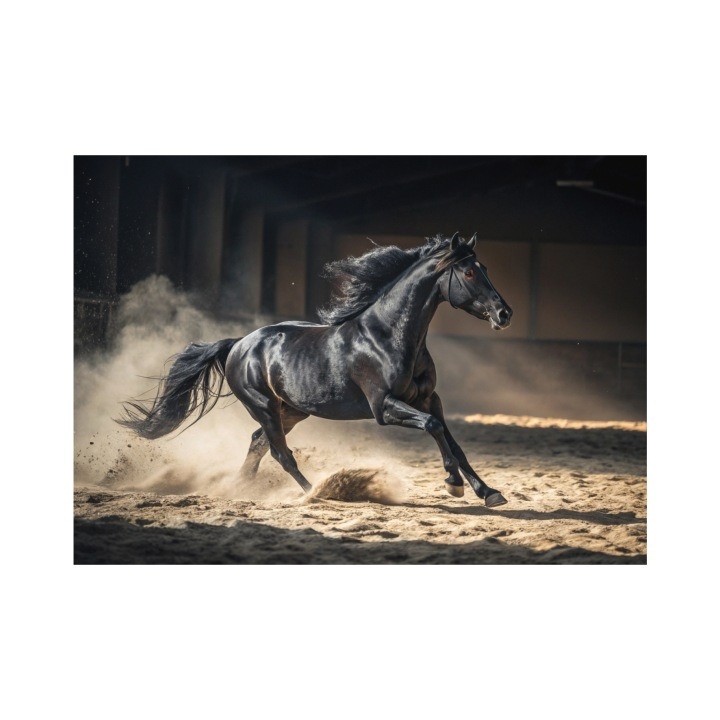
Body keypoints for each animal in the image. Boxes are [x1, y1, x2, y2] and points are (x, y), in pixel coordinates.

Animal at [116, 232, 514, 506]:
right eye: (468, 272)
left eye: (485, 268)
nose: (504, 313)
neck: (388, 336)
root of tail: (238, 344)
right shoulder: (384, 407)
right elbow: (433, 429)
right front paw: (454, 485)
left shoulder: (431, 399)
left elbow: (453, 441)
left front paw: (489, 492)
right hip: (263, 406)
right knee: (279, 452)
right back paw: (317, 492)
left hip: (292, 410)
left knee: (258, 443)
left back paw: (239, 488)